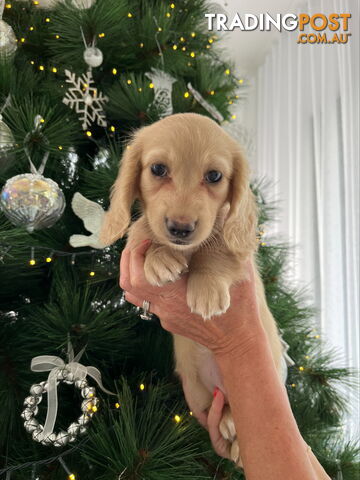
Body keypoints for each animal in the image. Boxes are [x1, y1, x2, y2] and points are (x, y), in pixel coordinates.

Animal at [99, 112, 284, 464]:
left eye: (214, 176)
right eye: (158, 169)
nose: (180, 229)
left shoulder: (236, 250)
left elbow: (216, 247)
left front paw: (206, 288)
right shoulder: (144, 229)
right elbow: (142, 229)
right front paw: (160, 257)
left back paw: (235, 438)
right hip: (198, 393)